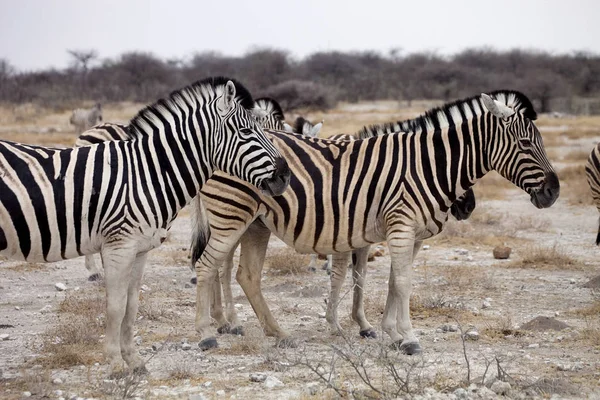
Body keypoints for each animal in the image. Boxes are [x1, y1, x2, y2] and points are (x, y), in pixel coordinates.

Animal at [0, 76, 290, 374]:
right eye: (246, 131)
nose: (285, 176)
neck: (147, 174)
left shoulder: (139, 249)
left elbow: (131, 305)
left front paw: (135, 361)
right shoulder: (119, 246)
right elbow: (115, 306)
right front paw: (116, 364)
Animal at [191, 90, 556, 354]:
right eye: (526, 143)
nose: (554, 191)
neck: (426, 165)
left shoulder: (408, 233)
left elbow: (392, 281)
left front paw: (389, 332)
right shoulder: (400, 225)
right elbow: (402, 282)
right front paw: (408, 337)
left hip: (255, 223)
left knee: (246, 274)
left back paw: (277, 333)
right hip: (231, 214)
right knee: (209, 266)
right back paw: (210, 332)